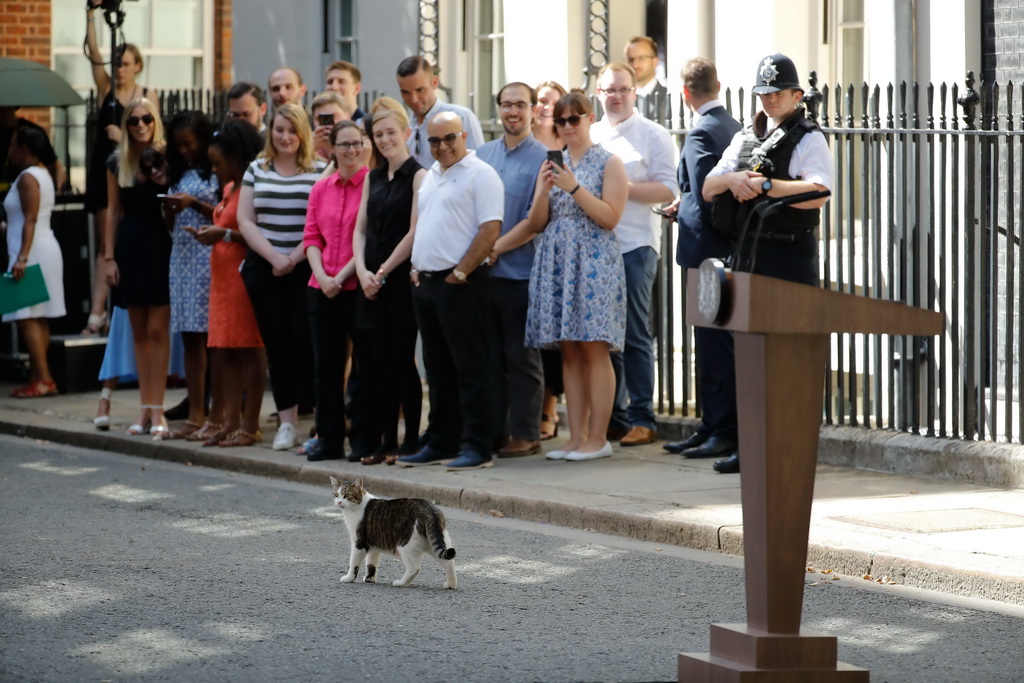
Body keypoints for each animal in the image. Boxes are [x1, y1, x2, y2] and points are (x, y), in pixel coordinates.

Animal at [329, 479, 458, 589]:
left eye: (347, 495)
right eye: (336, 495)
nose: (339, 502)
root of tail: (428, 507)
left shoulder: (359, 542)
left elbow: (354, 563)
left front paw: (349, 578)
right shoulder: (374, 544)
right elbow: (371, 564)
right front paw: (369, 579)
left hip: (406, 546)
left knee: (414, 568)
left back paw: (400, 583)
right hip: (435, 544)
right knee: (449, 563)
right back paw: (450, 585)